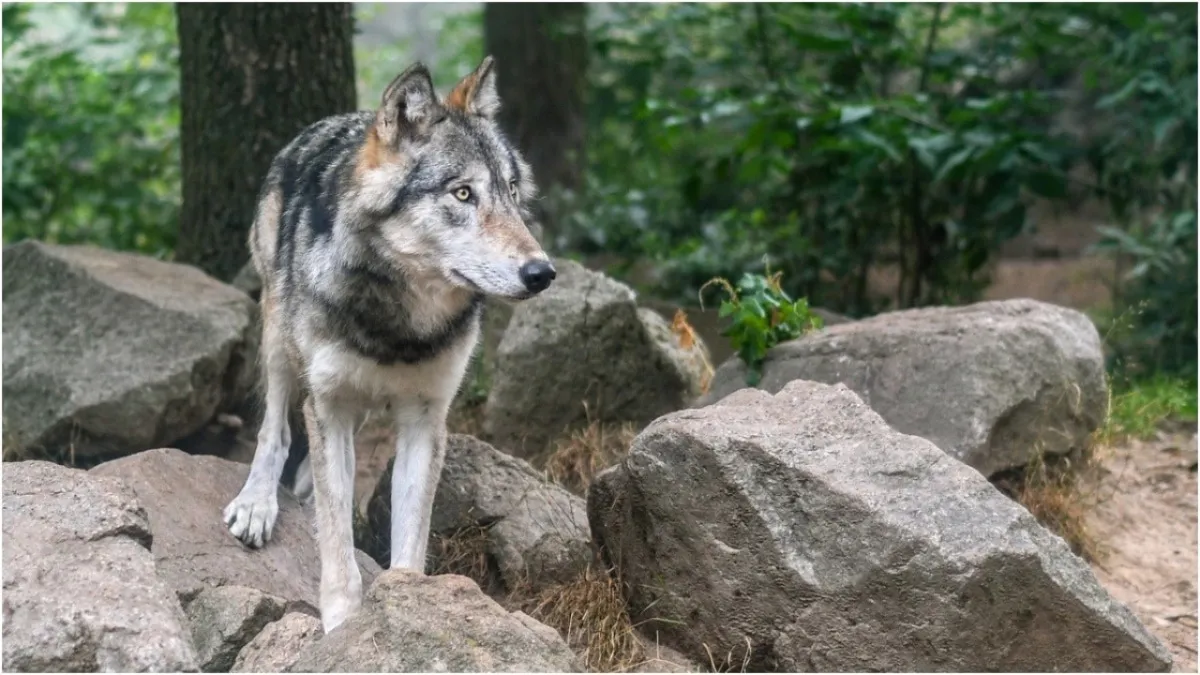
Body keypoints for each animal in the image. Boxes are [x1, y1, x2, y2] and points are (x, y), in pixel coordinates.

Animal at [222, 56, 555, 633]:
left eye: (513, 192)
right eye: (462, 193)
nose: (543, 273)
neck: (401, 326)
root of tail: (332, 121)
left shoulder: (426, 418)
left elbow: (408, 539)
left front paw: (408, 608)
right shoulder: (328, 404)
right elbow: (338, 544)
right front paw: (342, 625)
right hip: (279, 336)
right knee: (275, 430)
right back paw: (258, 501)